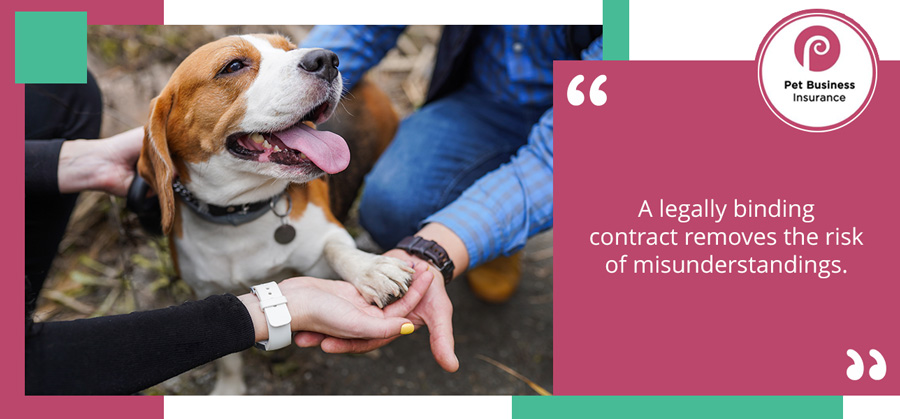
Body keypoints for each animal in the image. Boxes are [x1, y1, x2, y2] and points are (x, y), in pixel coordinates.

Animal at [137, 34, 408, 396]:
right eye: (233, 66)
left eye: (288, 47)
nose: (327, 59)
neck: (240, 214)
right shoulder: (207, 292)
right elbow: (227, 355)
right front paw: (229, 389)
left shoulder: (322, 247)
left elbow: (336, 249)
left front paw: (371, 270)